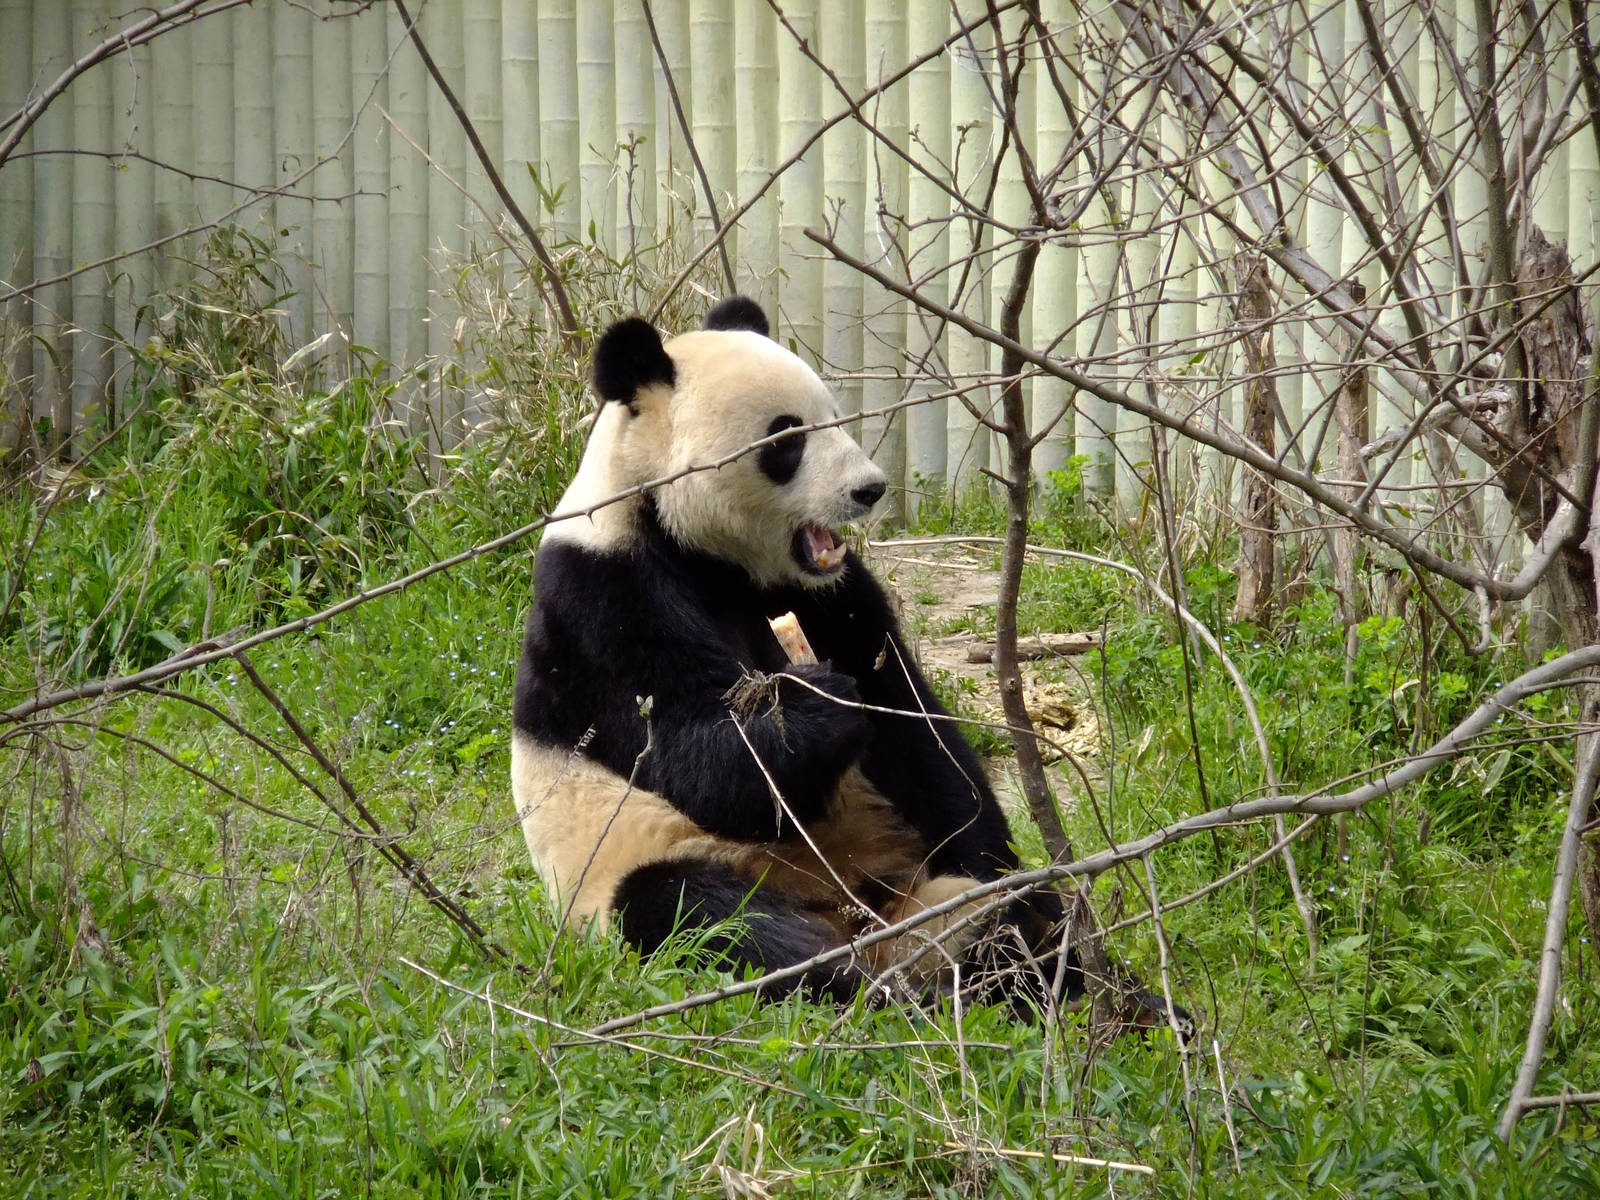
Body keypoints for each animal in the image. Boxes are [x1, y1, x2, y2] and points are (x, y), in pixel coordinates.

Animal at [510, 296, 1082, 1012]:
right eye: (787, 438)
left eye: (836, 415)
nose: (869, 489)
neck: (697, 547)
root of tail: (858, 912)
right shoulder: (601, 602)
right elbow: (697, 760)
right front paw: (815, 704)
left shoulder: (826, 596)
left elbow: (915, 730)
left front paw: (1009, 878)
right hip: (640, 862)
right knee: (691, 910)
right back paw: (865, 981)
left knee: (991, 908)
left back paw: (1025, 953)